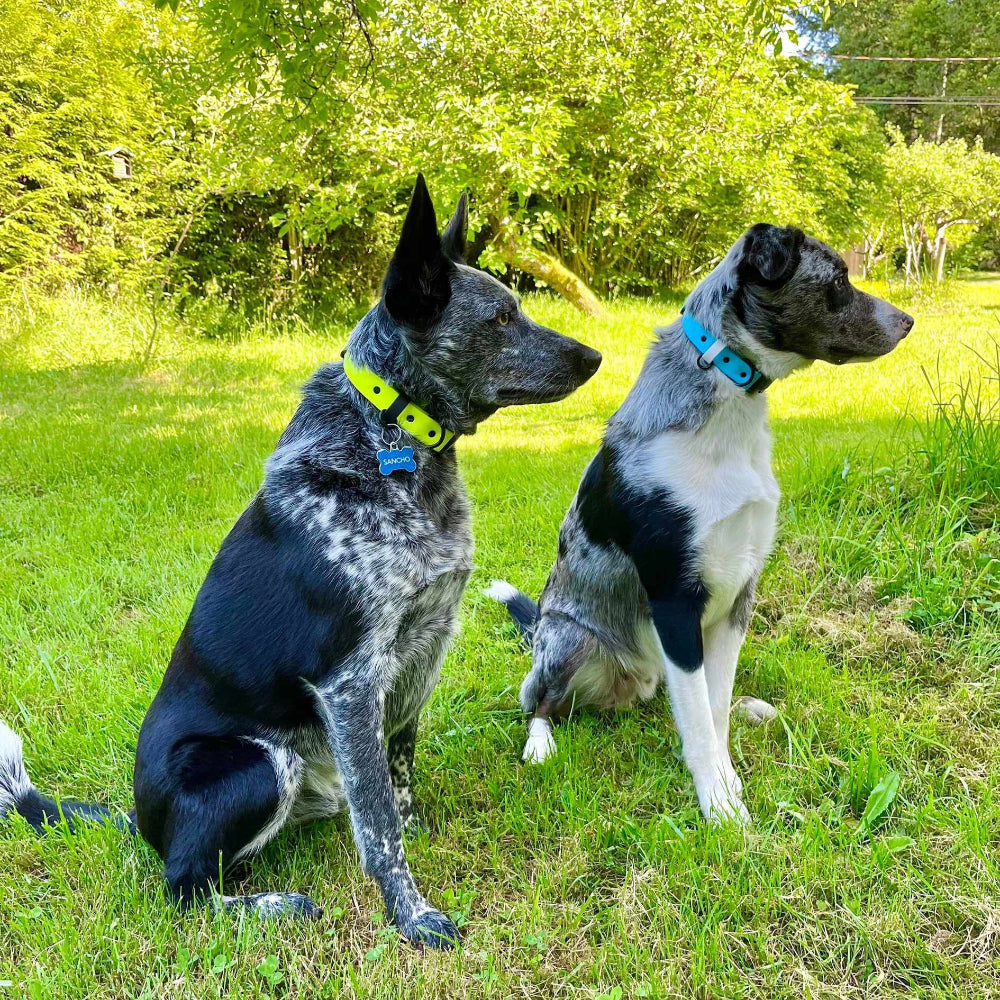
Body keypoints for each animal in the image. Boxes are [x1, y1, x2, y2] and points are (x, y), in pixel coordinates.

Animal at [0, 176, 600, 948]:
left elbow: (396, 785)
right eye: (500, 317)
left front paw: (415, 839)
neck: (392, 437)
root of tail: (140, 823)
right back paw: (273, 904)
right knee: (183, 888)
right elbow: (379, 827)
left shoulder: (421, 651)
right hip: (260, 762)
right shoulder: (351, 683)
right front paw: (411, 915)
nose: (596, 356)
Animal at [490, 229, 916, 828]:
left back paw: (750, 707)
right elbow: (695, 723)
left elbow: (711, 709)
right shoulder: (676, 602)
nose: (908, 321)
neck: (727, 398)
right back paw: (540, 743)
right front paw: (718, 805)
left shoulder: (739, 595)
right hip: (571, 639)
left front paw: (727, 779)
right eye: (837, 280)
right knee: (538, 700)